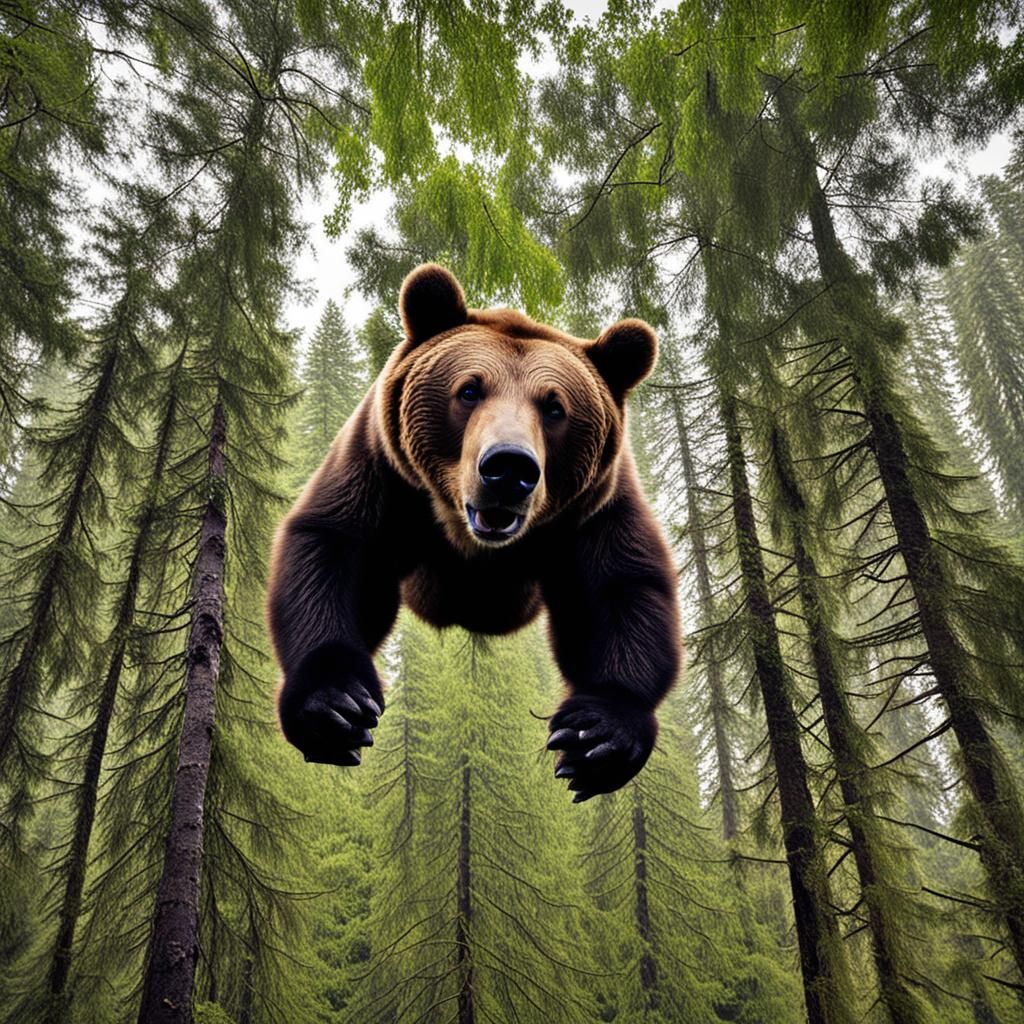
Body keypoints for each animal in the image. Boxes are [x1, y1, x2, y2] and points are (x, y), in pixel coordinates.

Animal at [267, 264, 682, 801]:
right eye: (469, 389)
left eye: (555, 407)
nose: (508, 467)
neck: (475, 547)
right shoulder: (383, 472)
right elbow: (334, 549)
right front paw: (336, 708)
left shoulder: (595, 508)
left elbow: (623, 588)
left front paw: (595, 736)